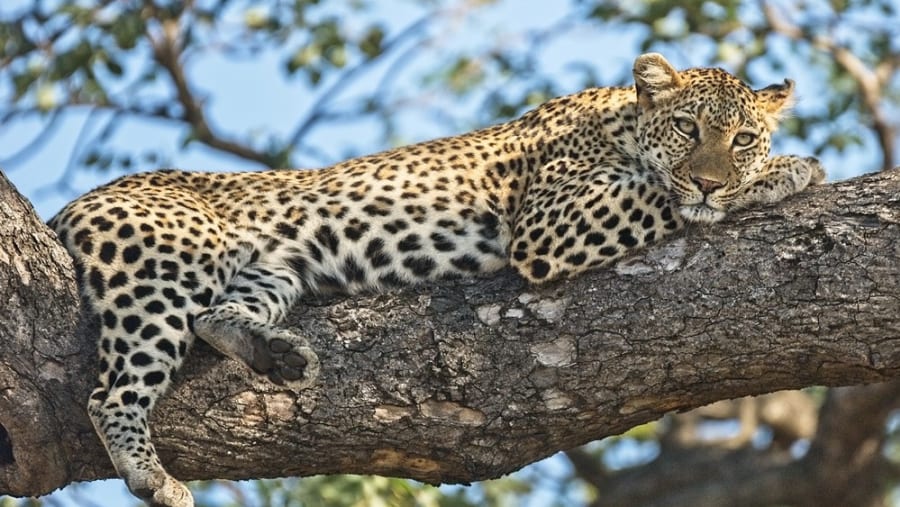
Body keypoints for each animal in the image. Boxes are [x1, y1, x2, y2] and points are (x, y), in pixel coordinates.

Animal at [48, 53, 824, 507]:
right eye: (689, 128)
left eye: (741, 138)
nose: (711, 178)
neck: (624, 121)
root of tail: (78, 201)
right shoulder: (548, 221)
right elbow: (661, 197)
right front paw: (790, 171)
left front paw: (768, 172)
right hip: (166, 266)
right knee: (110, 391)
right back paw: (153, 475)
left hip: (270, 267)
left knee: (214, 317)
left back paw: (278, 354)